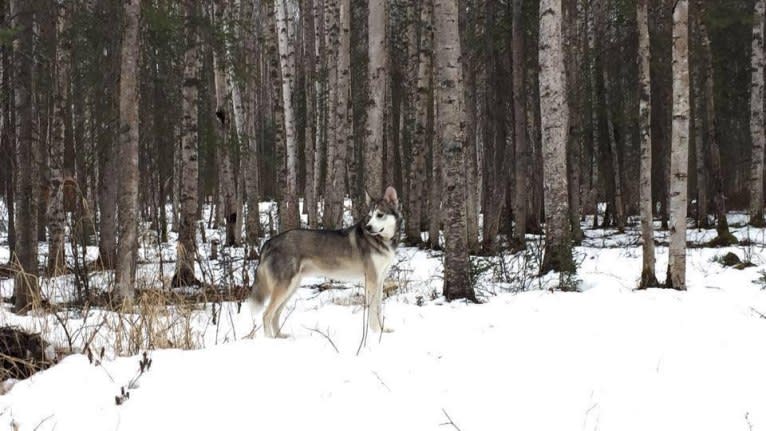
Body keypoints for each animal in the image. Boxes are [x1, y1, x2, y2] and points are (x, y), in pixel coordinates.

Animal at [255, 186, 404, 338]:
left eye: (380, 215)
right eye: (369, 216)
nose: (368, 227)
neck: (382, 240)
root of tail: (269, 241)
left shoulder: (380, 280)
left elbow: (379, 308)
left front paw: (383, 330)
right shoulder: (371, 280)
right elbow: (373, 310)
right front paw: (376, 332)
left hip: (291, 288)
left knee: (275, 314)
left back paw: (280, 337)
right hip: (284, 287)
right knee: (266, 315)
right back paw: (270, 339)